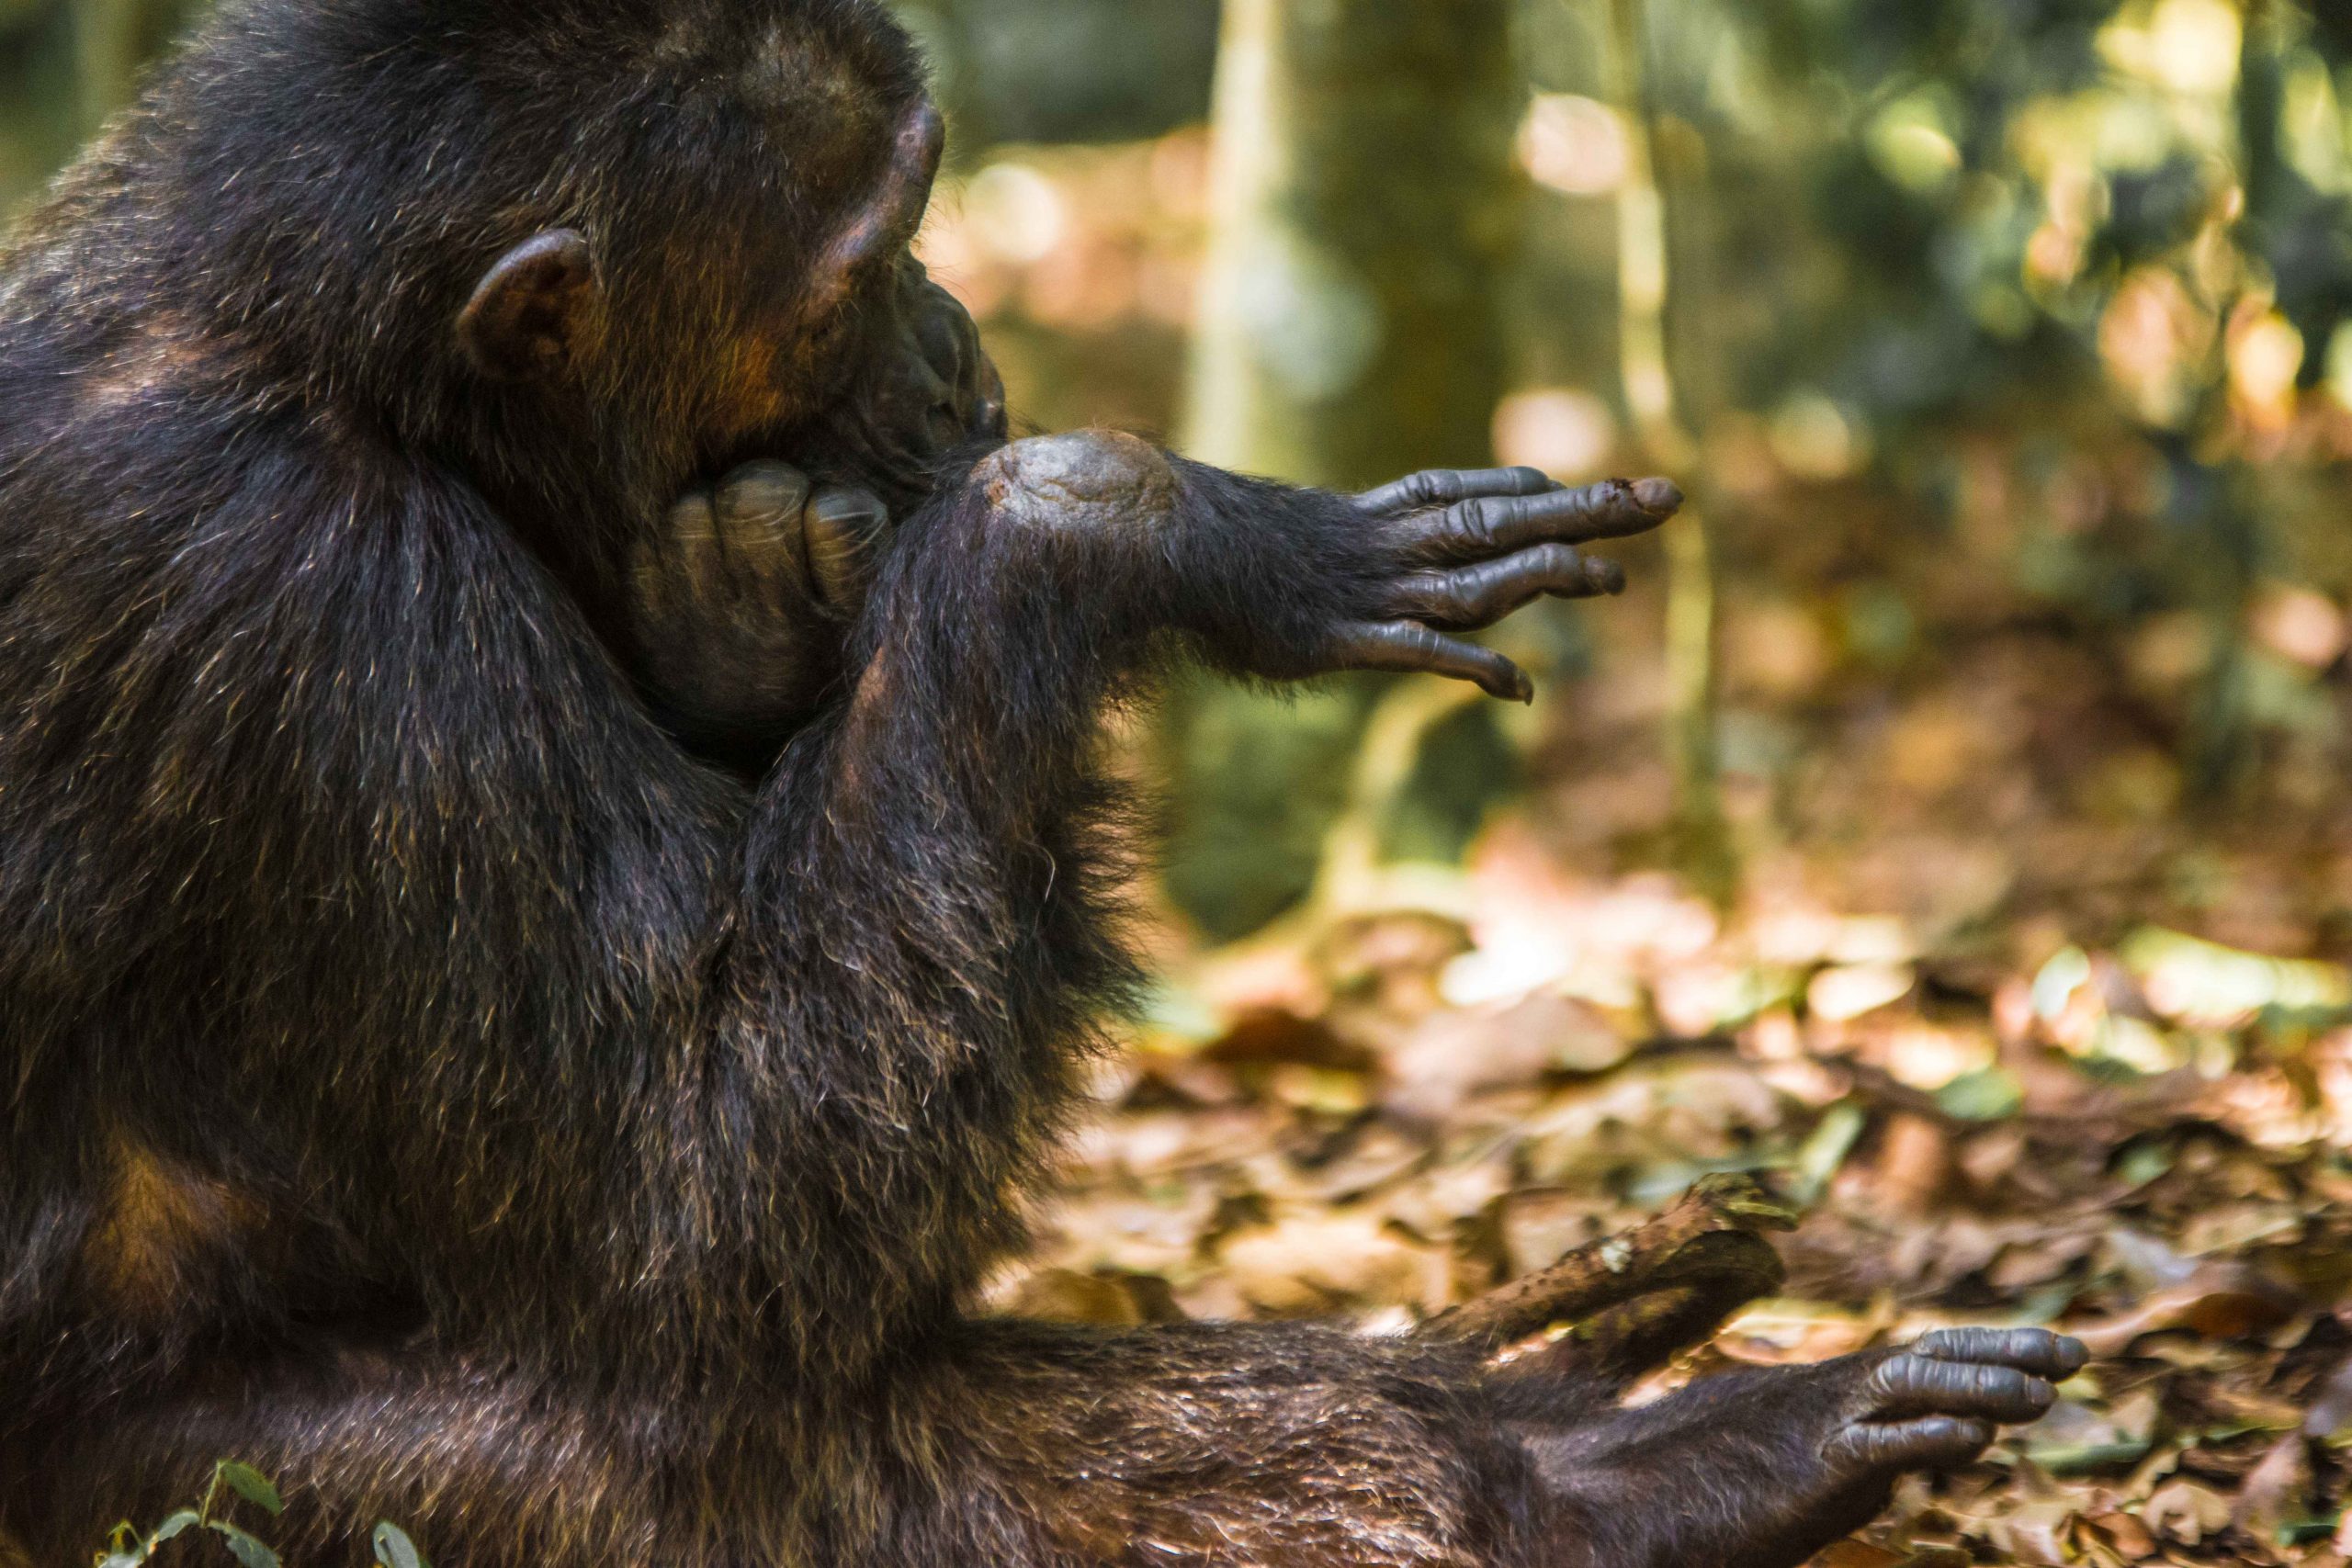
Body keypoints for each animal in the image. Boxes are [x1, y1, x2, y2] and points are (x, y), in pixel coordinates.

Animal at [0, 3, 2079, 1568]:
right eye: (866, 262)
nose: (956, 330)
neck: (346, 373)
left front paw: (751, 602)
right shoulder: (305, 593)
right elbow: (707, 1190)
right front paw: (1129, 527)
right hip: (189, 1509)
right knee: (739, 1442)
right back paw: (1592, 1481)